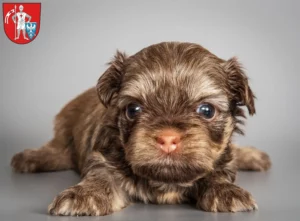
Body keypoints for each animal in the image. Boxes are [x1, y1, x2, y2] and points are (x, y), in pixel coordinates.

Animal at [10, 41, 270, 216]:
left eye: (206, 110)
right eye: (133, 109)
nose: (168, 138)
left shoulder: (221, 158)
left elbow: (219, 170)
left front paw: (225, 190)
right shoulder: (104, 159)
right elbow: (101, 176)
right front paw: (84, 194)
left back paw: (253, 156)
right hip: (64, 130)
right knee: (57, 151)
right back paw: (30, 157)